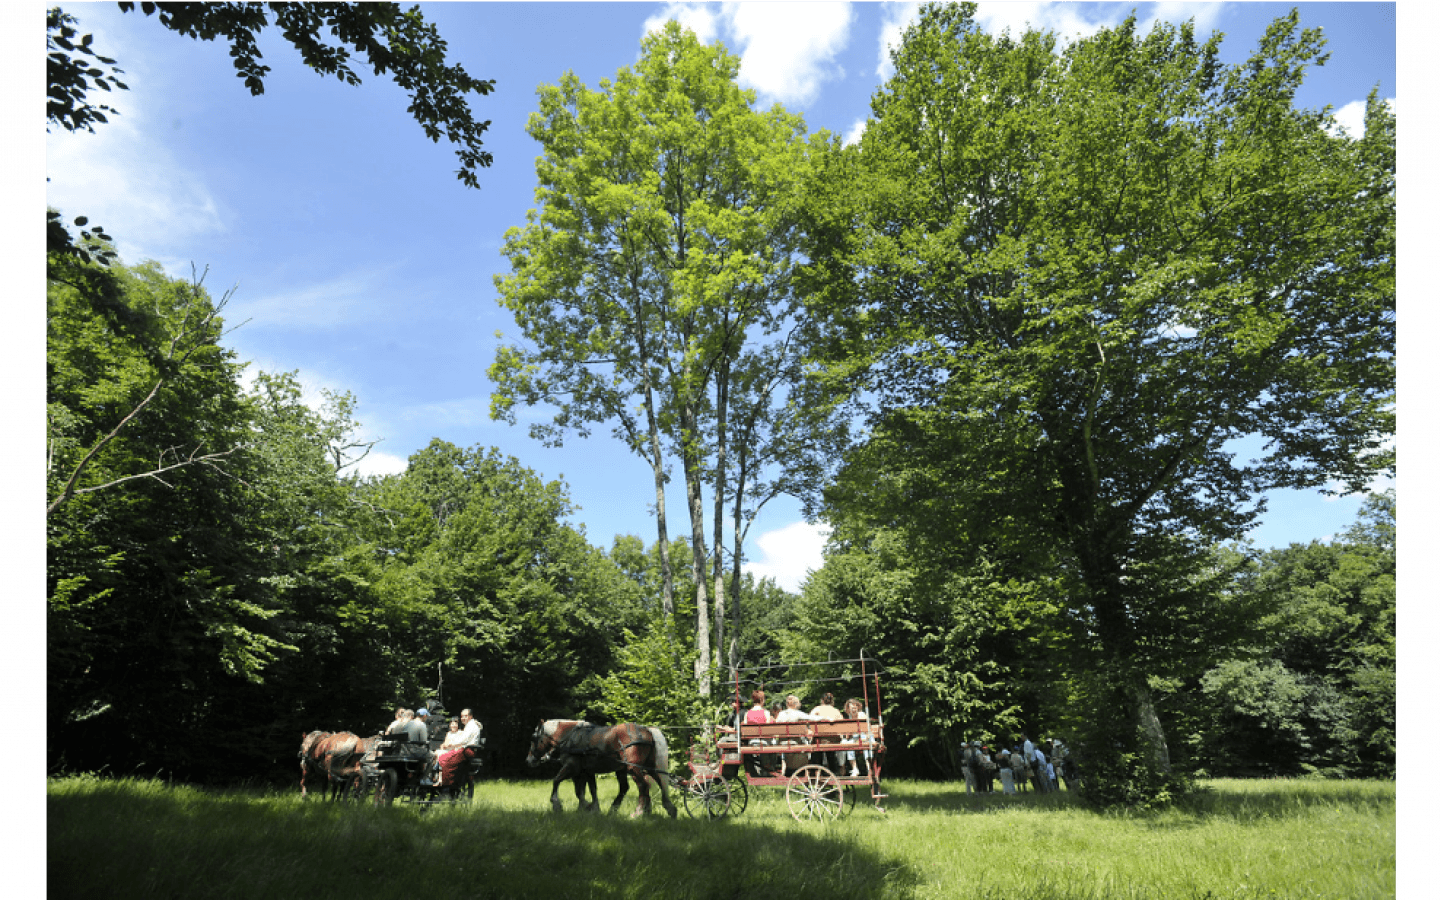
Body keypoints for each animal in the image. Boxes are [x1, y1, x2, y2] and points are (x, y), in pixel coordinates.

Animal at [527, 720, 676, 817]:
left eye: (533, 739)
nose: (529, 760)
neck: (569, 737)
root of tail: (647, 730)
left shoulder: (571, 767)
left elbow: (557, 781)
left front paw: (557, 804)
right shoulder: (586, 771)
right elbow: (587, 790)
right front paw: (591, 808)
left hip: (633, 768)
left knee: (643, 786)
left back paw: (638, 812)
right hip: (644, 767)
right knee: (657, 783)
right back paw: (665, 809)